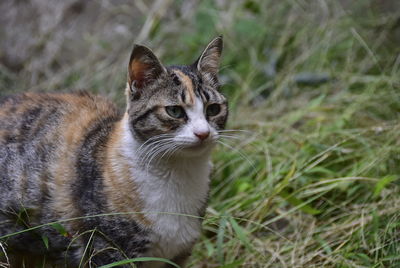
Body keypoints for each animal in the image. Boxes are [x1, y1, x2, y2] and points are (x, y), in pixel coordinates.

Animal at [0, 36, 227, 266]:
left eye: (213, 109)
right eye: (174, 111)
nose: (203, 133)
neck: (178, 174)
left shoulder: (178, 256)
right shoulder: (107, 248)